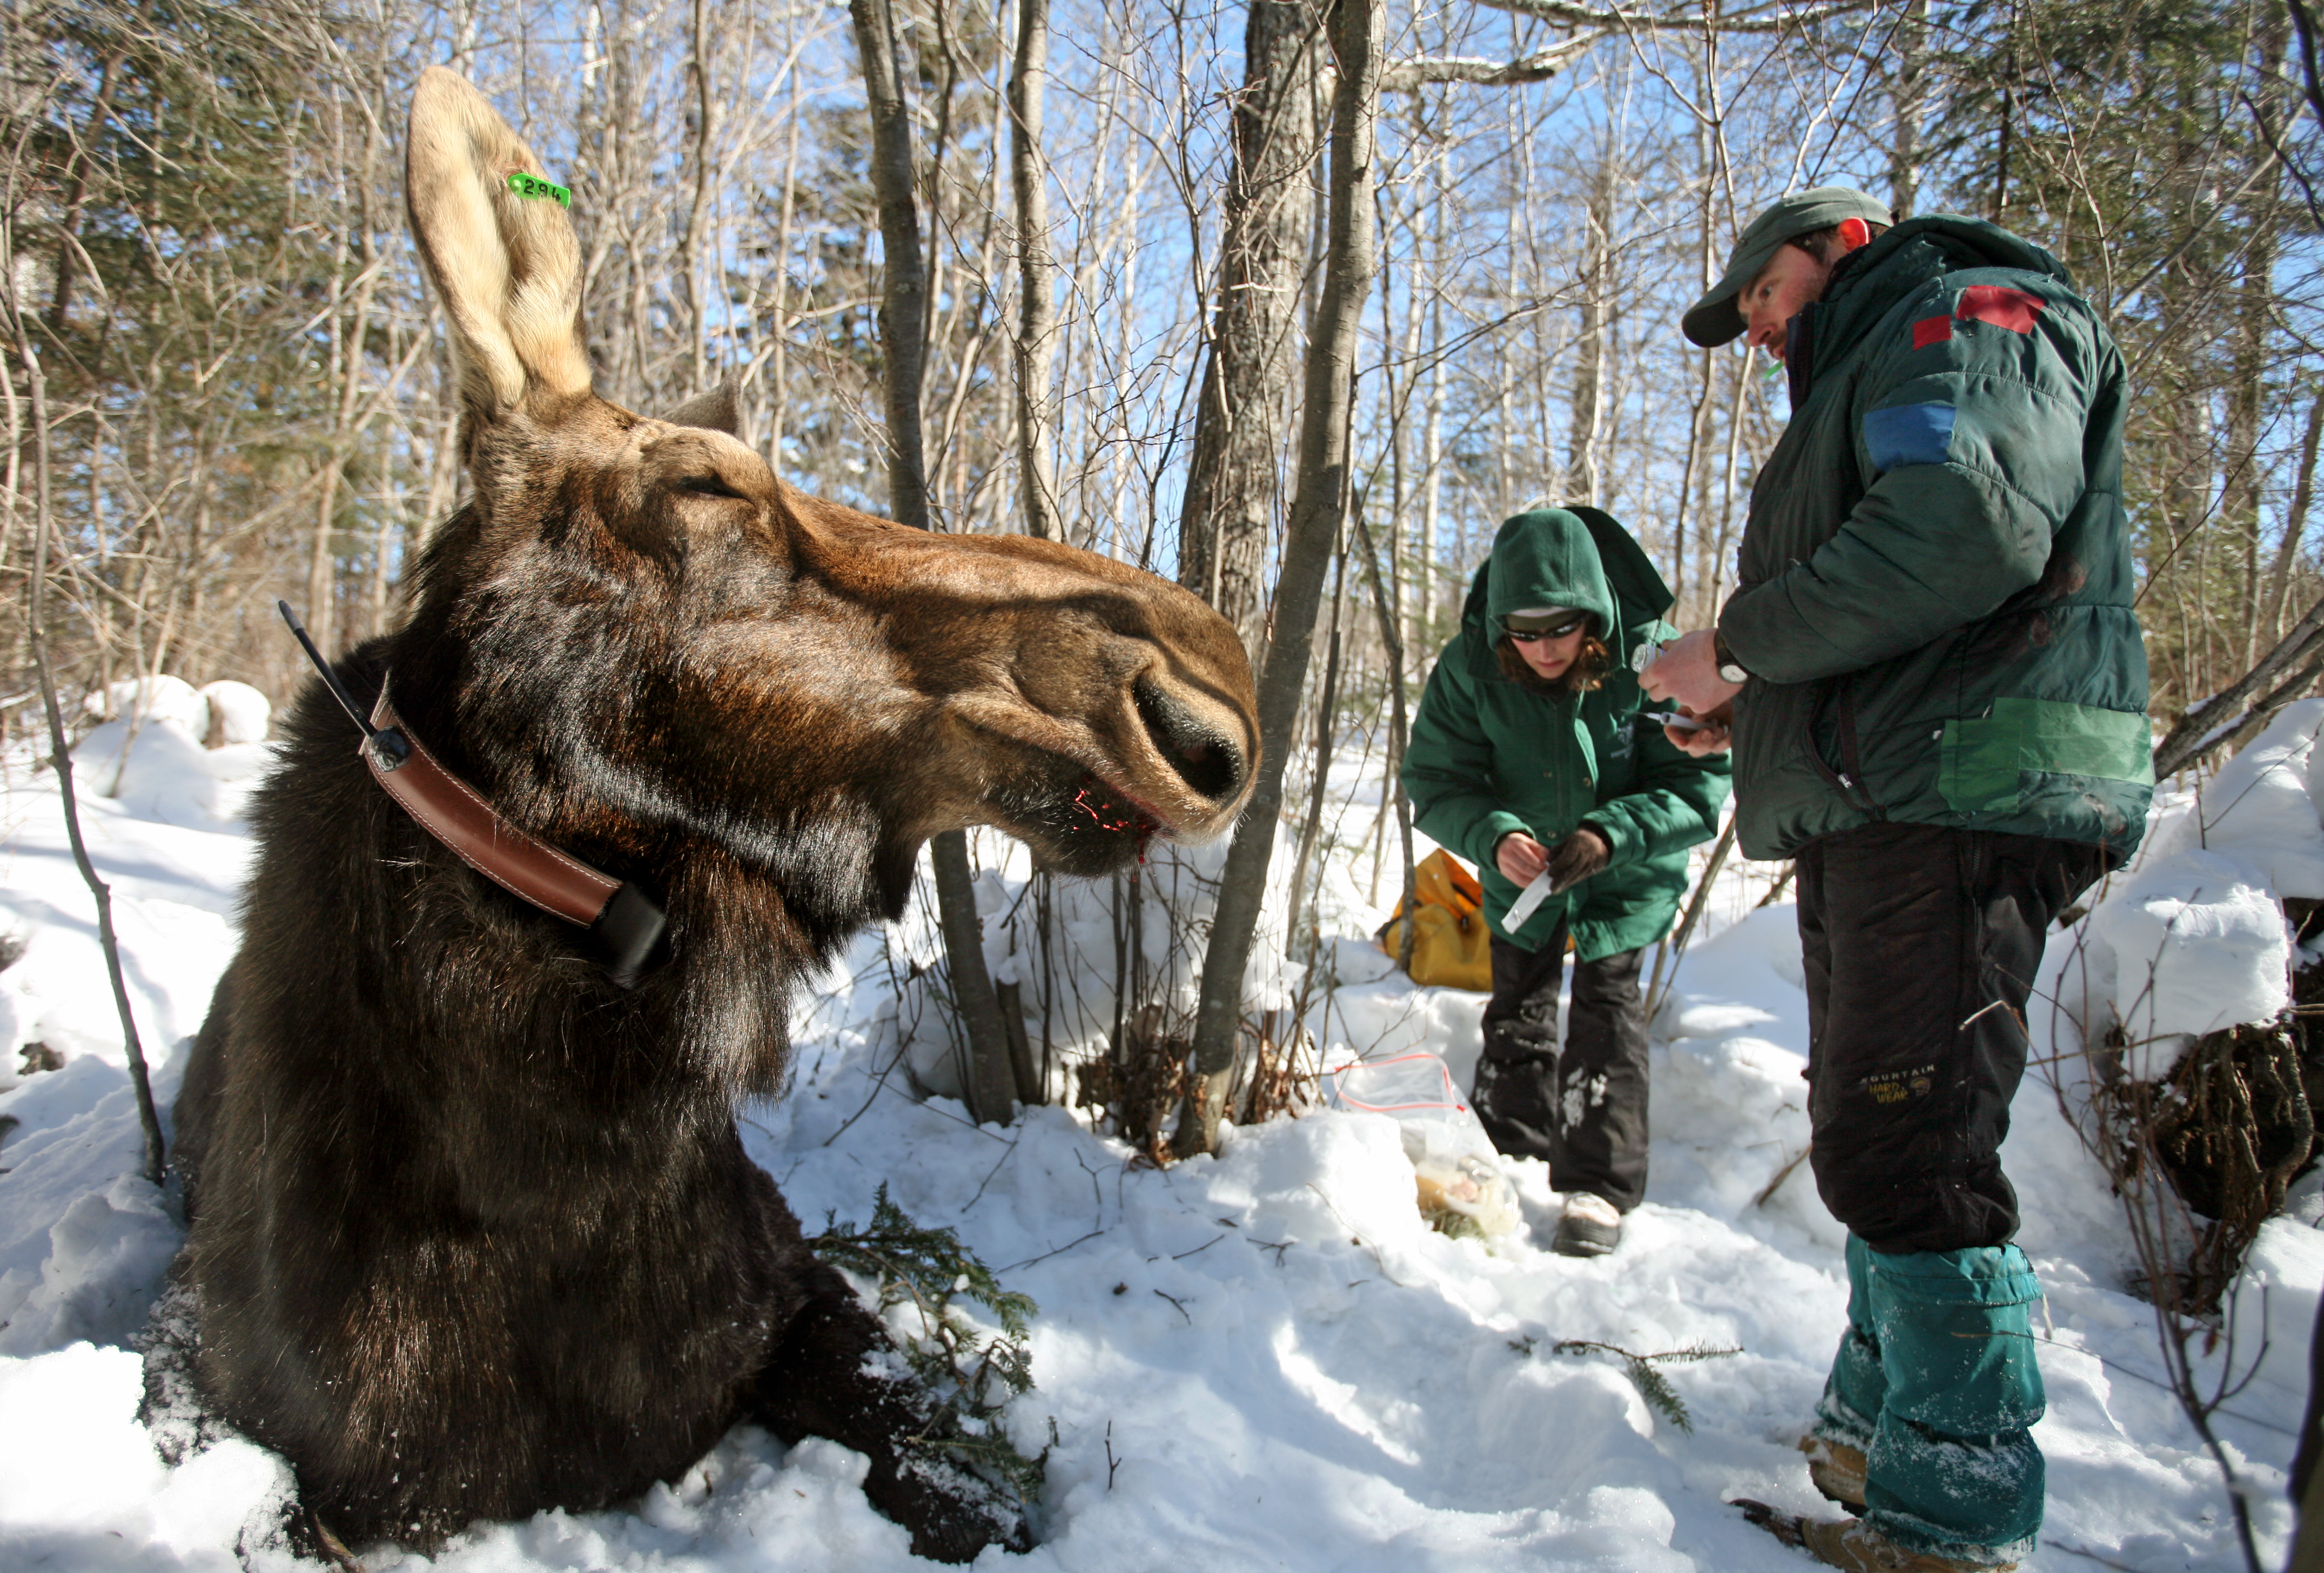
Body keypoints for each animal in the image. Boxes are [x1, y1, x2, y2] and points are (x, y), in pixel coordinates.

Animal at [168, 64, 1255, 1561]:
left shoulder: (794, 1289)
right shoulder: (252, 1427)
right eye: (707, 484)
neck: (554, 1173)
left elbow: (958, 1476)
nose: (1203, 688)